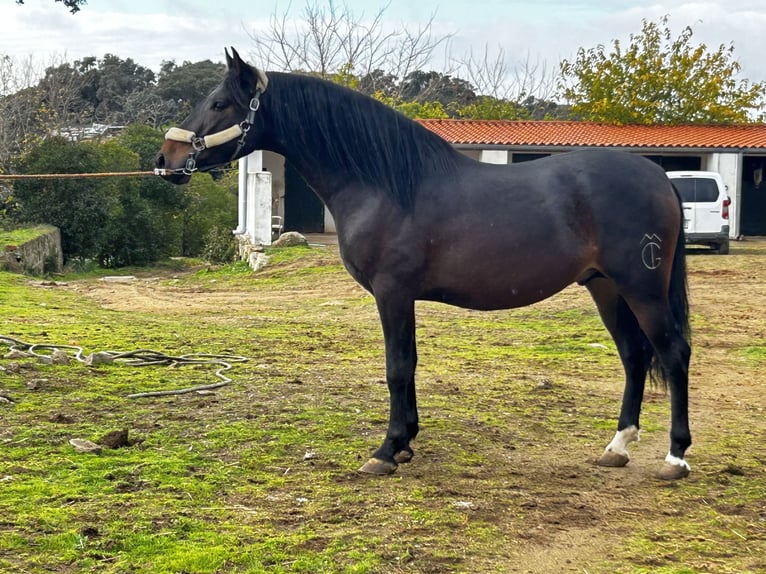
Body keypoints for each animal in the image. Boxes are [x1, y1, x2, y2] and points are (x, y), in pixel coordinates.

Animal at [156, 48, 696, 482]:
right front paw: (406, 443)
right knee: (633, 355)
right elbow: (409, 364)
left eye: (219, 103)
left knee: (672, 354)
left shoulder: (392, 291)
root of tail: (657, 175)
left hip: (642, 288)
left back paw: (676, 457)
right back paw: (618, 446)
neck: (386, 184)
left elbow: (397, 366)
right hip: (605, 287)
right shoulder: (402, 295)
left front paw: (386, 450)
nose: (165, 160)